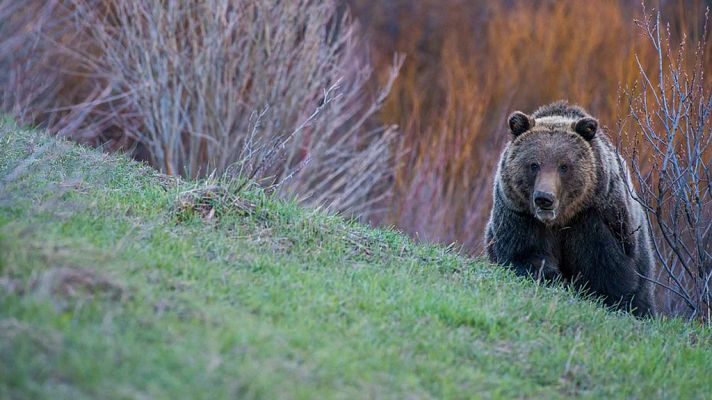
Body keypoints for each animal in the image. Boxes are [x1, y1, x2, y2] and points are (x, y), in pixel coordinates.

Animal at [484, 100, 656, 317]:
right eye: (534, 164)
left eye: (564, 166)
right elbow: (525, 255)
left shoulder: (595, 217)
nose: (544, 198)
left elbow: (608, 270)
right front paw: (554, 278)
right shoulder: (519, 214)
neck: (559, 220)